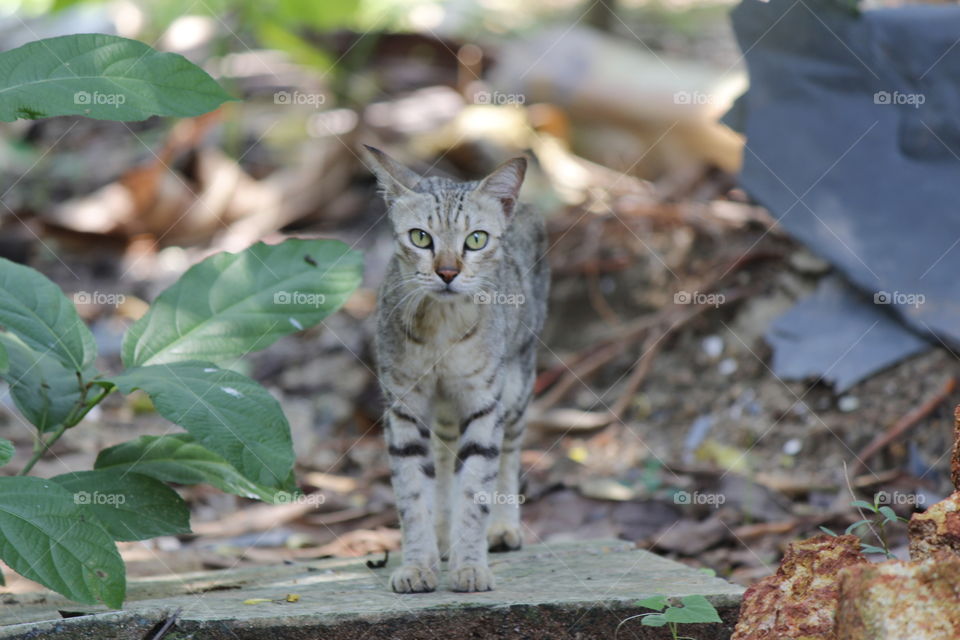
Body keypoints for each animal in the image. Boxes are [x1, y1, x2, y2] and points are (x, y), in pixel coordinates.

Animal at [366, 146, 552, 596]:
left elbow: (476, 490)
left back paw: (502, 528)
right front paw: (419, 564)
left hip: (517, 381)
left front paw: (470, 565)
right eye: (420, 237)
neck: (441, 328)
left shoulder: (485, 403)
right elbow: (413, 492)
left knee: (509, 452)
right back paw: (441, 537)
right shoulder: (403, 406)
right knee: (444, 454)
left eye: (476, 240)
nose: (448, 272)